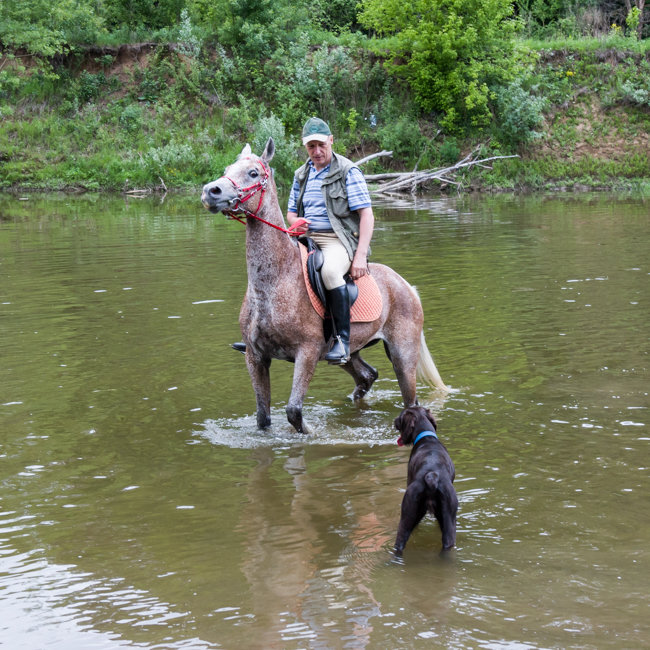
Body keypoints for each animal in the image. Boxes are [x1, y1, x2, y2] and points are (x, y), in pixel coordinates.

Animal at [202, 137, 446, 432]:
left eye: (253, 173)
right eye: (227, 169)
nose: (210, 191)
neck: (273, 283)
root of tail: (406, 286)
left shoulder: (306, 353)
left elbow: (294, 411)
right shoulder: (256, 357)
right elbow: (263, 416)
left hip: (403, 355)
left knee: (410, 399)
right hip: (349, 353)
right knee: (367, 376)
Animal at [390, 404, 456, 552]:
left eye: (400, 416)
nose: (394, 420)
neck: (427, 438)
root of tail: (431, 476)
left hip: (407, 514)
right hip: (449, 520)